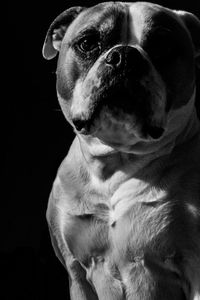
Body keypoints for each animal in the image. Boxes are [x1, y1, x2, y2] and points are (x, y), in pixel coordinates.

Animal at [42, 2, 200, 300]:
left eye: (162, 44)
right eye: (87, 43)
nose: (124, 56)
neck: (117, 162)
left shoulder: (194, 268)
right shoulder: (76, 274)